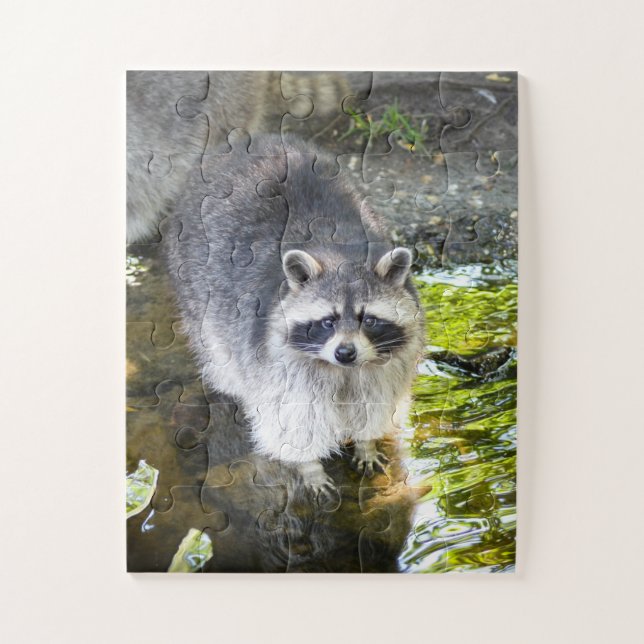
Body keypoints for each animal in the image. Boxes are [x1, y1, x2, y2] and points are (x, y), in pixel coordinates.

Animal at [163, 140, 425, 492]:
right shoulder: (275, 364)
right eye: (328, 321)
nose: (345, 353)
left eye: (368, 319)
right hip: (193, 285)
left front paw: (366, 442)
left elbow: (376, 403)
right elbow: (290, 421)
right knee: (221, 355)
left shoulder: (389, 367)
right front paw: (309, 466)